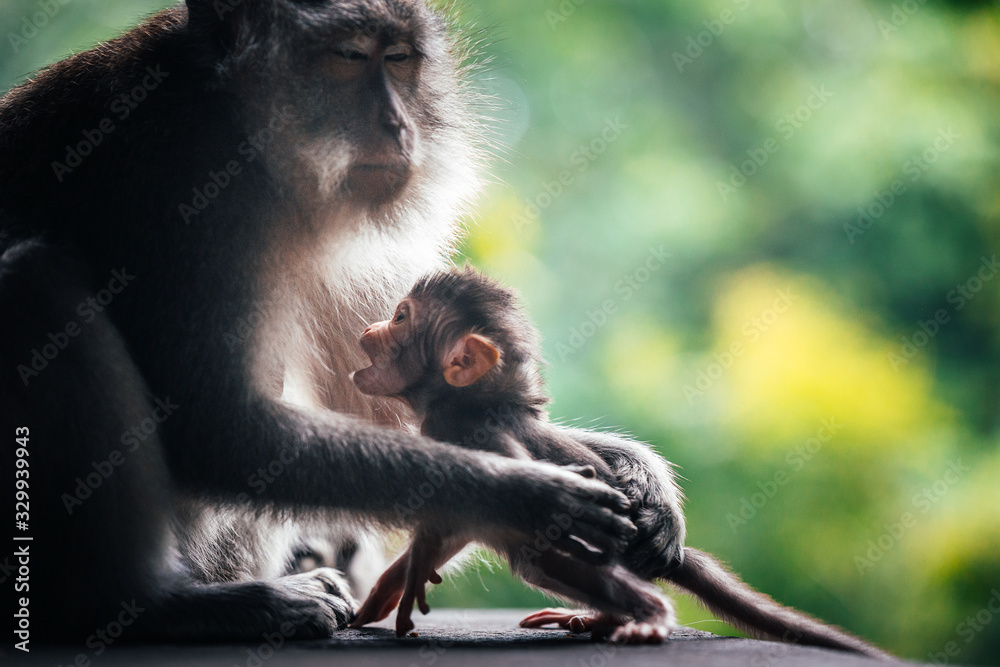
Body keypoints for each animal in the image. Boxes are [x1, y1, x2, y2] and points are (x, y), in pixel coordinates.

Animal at [0, 1, 638, 645]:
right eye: (350, 56)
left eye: (399, 59)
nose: (397, 126)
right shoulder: (195, 177)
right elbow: (215, 425)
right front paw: (521, 496)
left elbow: (389, 401)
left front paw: (636, 476)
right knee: (32, 279)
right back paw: (145, 604)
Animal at [348, 267, 892, 657]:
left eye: (401, 317)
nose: (370, 328)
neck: (467, 404)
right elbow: (459, 520)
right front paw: (394, 584)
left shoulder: (467, 430)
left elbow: (515, 497)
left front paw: (412, 572)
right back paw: (605, 617)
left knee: (543, 553)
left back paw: (646, 612)